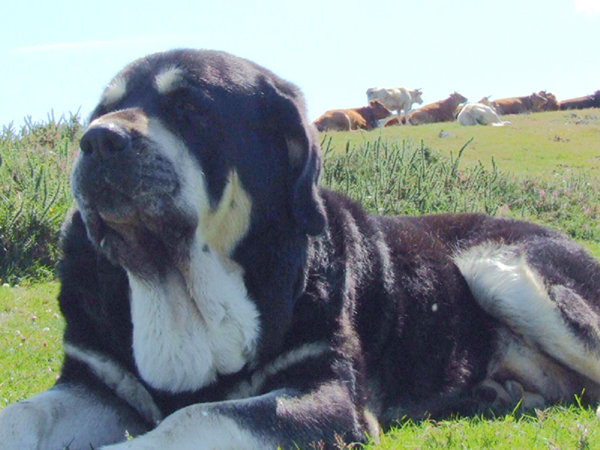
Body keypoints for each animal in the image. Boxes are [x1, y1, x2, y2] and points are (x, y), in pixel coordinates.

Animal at [1, 50, 600, 450]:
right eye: (100, 111)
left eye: (190, 109)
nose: (98, 140)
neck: (180, 285)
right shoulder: (95, 383)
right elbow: (22, 417)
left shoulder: (322, 395)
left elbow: (194, 418)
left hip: (498, 269)